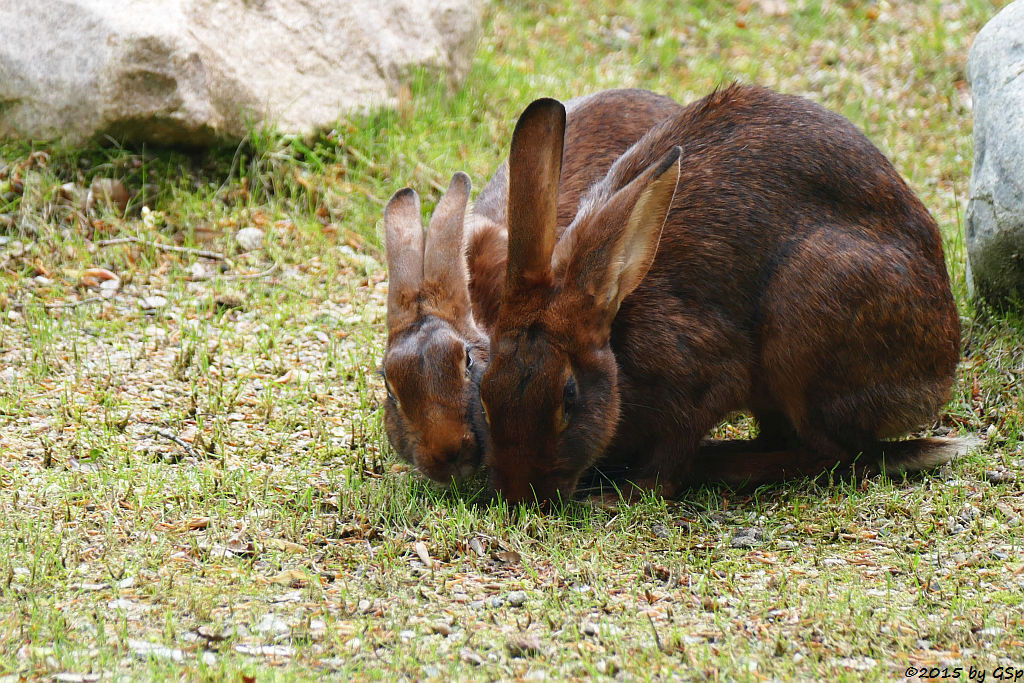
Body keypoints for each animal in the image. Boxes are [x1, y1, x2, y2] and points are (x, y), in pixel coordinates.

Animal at [481, 82, 974, 505]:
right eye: (485, 390)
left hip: (802, 334)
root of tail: (936, 380)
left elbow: (671, 455)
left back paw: (722, 465)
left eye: (568, 397)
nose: (521, 497)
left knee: (830, 453)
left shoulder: (705, 378)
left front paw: (623, 494)